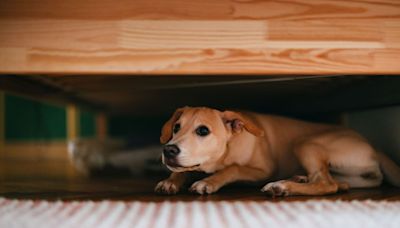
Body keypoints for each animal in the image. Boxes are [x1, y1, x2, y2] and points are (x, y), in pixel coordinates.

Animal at [155, 106, 400, 196]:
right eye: (176, 127)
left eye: (203, 130)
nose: (169, 150)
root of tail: (373, 146)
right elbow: (183, 169)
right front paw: (171, 181)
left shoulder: (263, 170)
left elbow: (233, 169)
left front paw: (209, 182)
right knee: (339, 184)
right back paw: (298, 179)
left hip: (305, 142)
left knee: (326, 184)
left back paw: (282, 186)